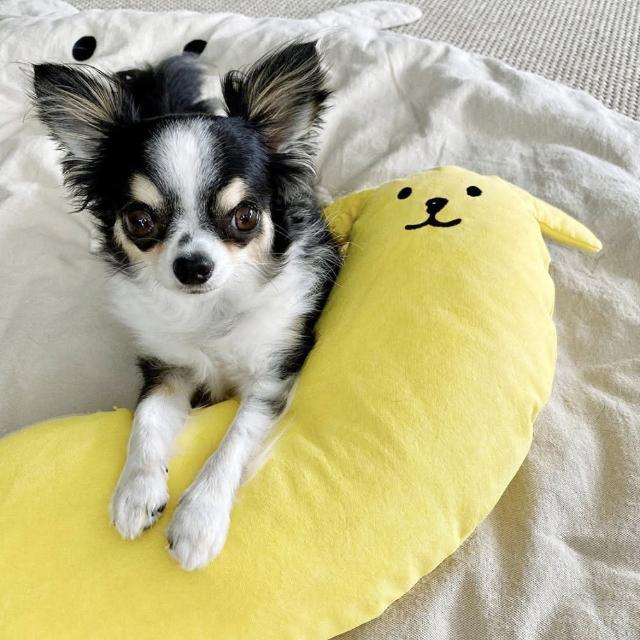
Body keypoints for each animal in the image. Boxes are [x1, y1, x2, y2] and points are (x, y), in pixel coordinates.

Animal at [32, 41, 341, 570]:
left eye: (245, 217)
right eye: (139, 220)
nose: (193, 266)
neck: (209, 311)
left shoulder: (273, 375)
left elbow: (233, 440)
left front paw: (199, 518)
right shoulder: (166, 369)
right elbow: (145, 422)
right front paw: (136, 491)